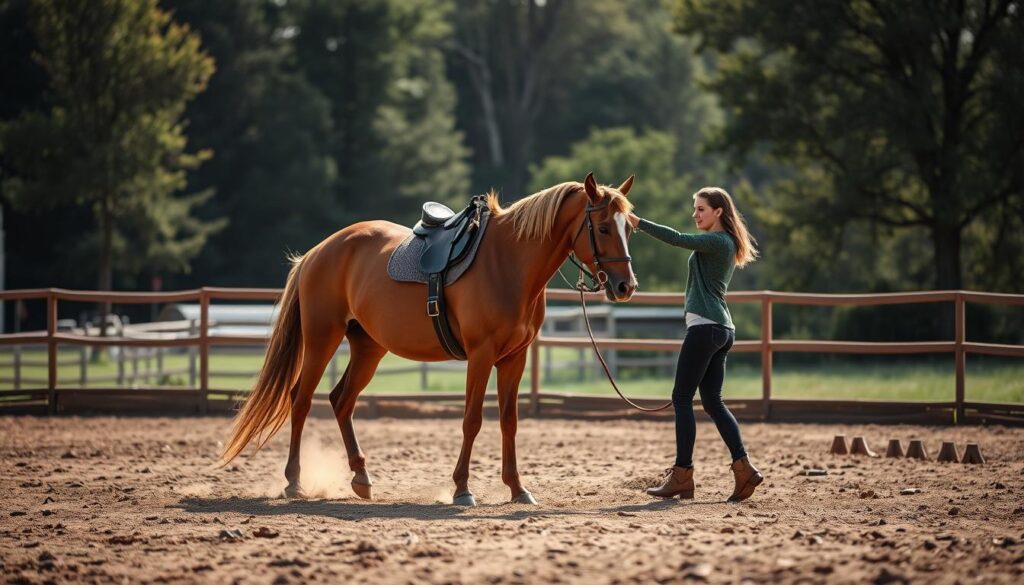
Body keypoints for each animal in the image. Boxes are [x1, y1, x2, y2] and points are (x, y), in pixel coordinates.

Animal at [220, 173, 637, 505]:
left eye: (629, 227)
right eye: (603, 227)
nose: (625, 287)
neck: (508, 263)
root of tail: (317, 252)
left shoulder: (513, 358)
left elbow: (509, 421)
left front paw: (518, 489)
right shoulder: (481, 355)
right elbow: (472, 420)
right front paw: (462, 490)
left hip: (368, 347)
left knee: (341, 400)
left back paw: (361, 478)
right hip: (322, 338)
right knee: (301, 400)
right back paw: (294, 482)